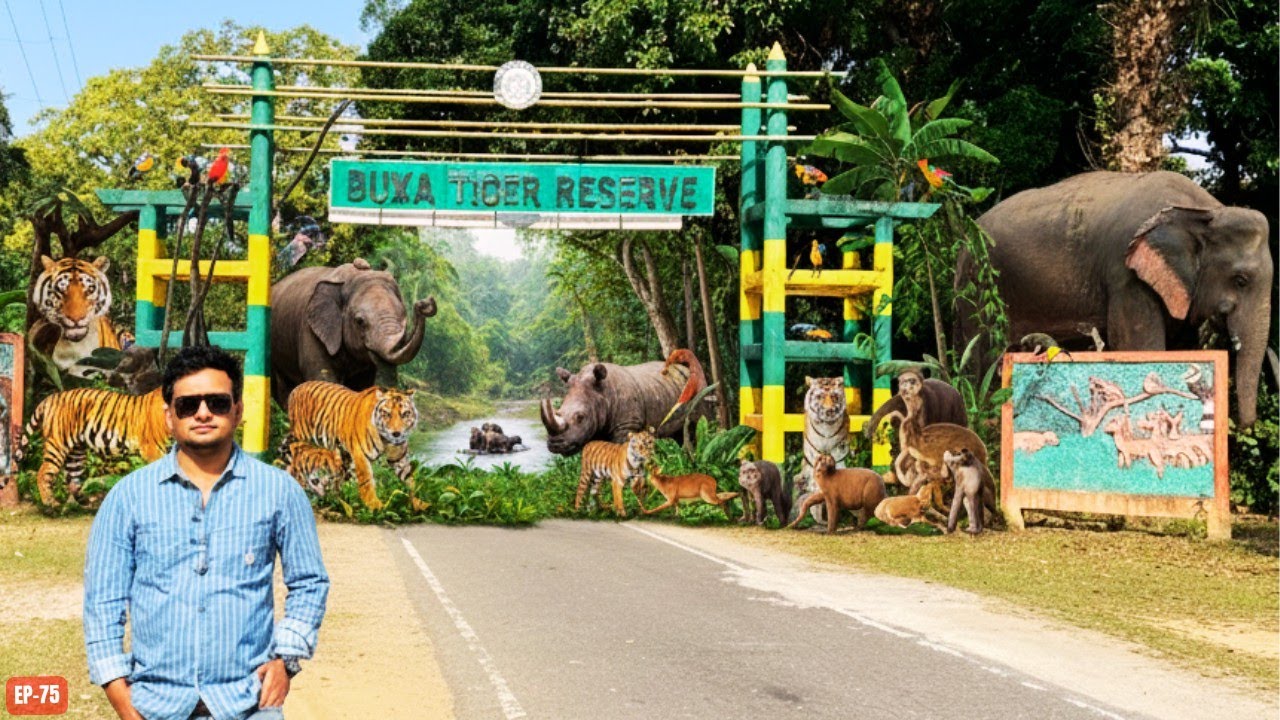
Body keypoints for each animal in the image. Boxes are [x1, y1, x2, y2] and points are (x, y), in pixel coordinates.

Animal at [16, 387, 169, 506]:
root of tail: (51, 397)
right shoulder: (153, 450)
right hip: (57, 445)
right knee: (43, 472)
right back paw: (50, 504)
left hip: (76, 452)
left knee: (73, 479)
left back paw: (85, 501)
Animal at [284, 381, 418, 511]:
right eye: (387, 414)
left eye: (405, 414)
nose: (396, 434)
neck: (386, 440)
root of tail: (296, 389)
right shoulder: (360, 454)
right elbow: (366, 481)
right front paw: (375, 506)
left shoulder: (399, 457)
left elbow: (409, 477)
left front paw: (417, 503)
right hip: (303, 436)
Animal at [797, 376, 850, 523]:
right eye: (819, 396)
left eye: (834, 396)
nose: (829, 410)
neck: (827, 426)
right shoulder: (814, 453)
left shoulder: (839, 452)